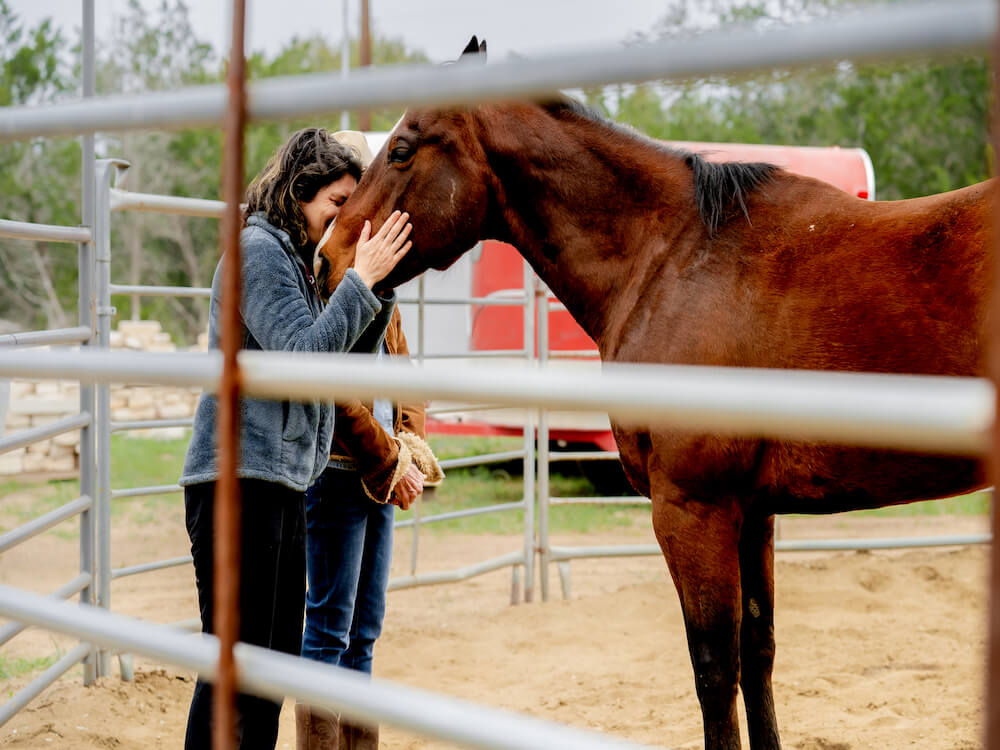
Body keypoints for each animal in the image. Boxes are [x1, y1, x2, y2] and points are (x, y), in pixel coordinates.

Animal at [324, 39, 996, 750]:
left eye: (402, 149)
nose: (329, 258)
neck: (672, 258)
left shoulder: (692, 510)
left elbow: (714, 669)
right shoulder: (753, 512)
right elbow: (758, 654)